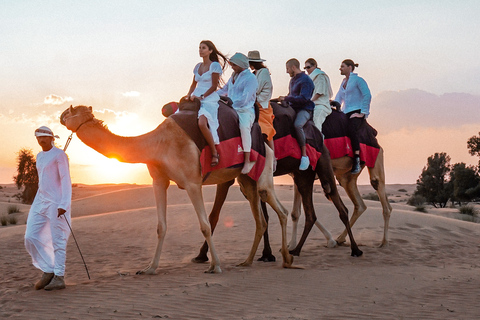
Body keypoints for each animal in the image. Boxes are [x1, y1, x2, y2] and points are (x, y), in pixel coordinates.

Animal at [60, 105, 292, 276]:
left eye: (72, 110)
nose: (61, 116)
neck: (157, 144)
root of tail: (267, 144)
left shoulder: (192, 182)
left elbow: (205, 225)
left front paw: (215, 265)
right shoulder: (159, 181)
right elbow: (161, 226)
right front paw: (149, 268)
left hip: (262, 174)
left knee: (280, 210)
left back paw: (287, 259)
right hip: (245, 180)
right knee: (261, 219)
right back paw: (248, 261)